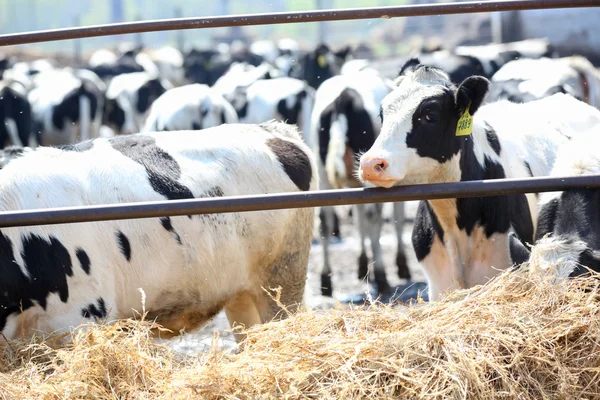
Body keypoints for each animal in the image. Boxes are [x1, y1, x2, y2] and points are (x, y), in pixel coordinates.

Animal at [312, 69, 410, 296]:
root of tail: (344, 97)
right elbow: (397, 218)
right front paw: (401, 265)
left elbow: (358, 218)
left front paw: (362, 265)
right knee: (372, 216)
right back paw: (382, 277)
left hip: (322, 171)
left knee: (325, 219)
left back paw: (325, 280)